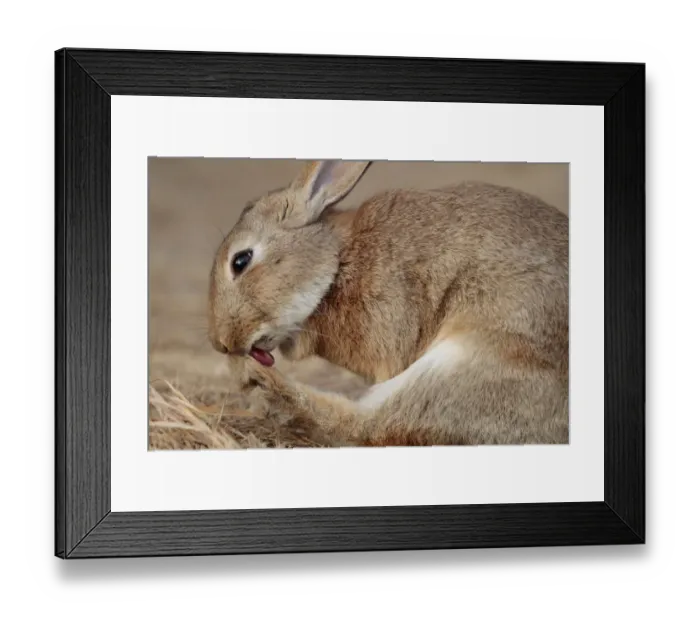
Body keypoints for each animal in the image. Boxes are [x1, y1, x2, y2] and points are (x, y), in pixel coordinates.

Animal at [208, 160, 569, 447]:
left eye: (241, 261)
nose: (220, 343)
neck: (337, 264)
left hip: (463, 363)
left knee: (366, 425)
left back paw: (261, 380)